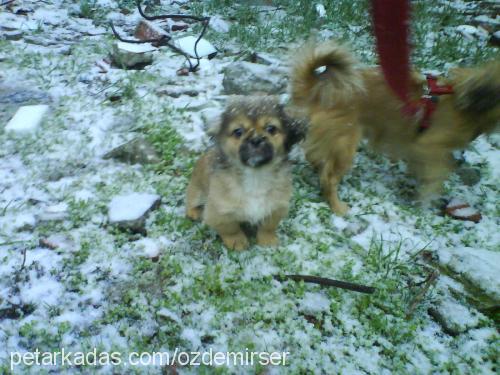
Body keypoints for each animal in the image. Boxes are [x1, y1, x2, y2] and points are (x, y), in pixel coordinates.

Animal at [185, 95, 300, 251]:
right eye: (238, 132)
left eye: (271, 128)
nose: (256, 140)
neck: (255, 175)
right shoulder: (219, 212)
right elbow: (231, 229)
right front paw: (237, 242)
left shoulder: (276, 207)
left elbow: (268, 227)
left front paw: (268, 240)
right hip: (196, 192)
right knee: (190, 202)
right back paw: (194, 212)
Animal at [292, 39, 498, 214]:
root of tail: (321, 90)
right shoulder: (428, 146)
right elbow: (438, 175)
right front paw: (425, 202)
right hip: (345, 144)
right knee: (329, 178)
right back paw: (337, 205)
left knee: (315, 156)